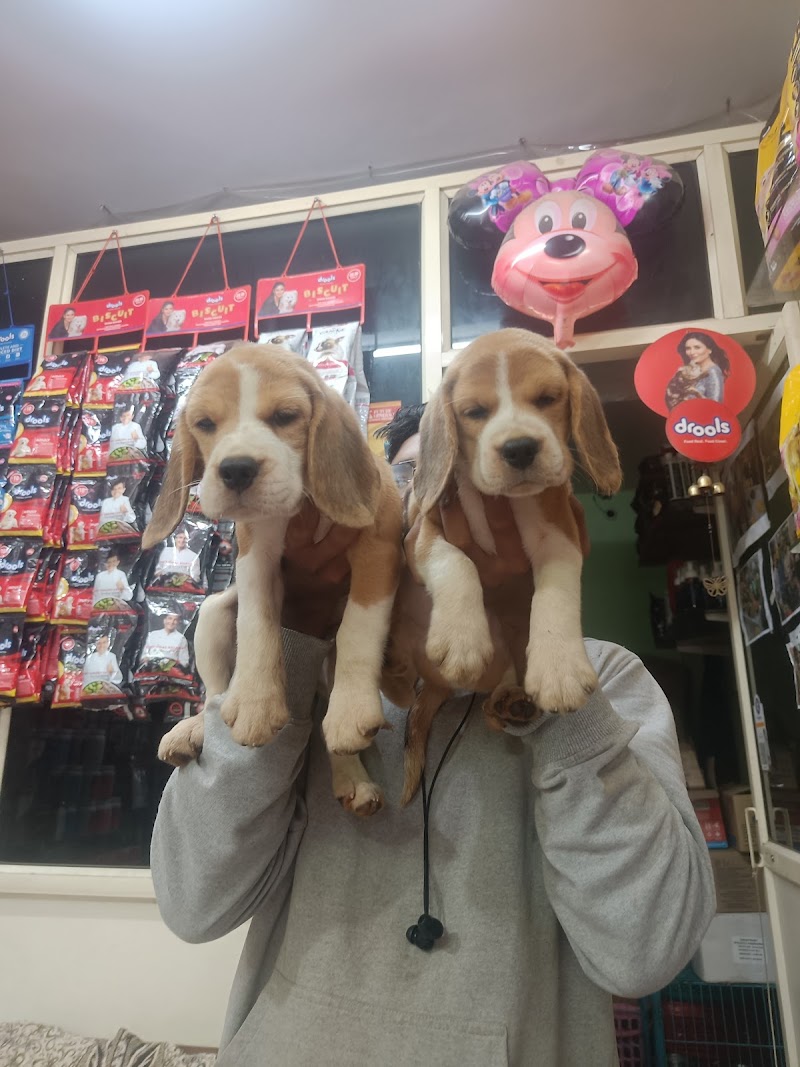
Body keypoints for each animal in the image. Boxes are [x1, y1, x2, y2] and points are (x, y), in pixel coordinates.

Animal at [143, 343, 403, 816]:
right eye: (205, 424)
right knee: (213, 692)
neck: (304, 505)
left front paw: (352, 711)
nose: (236, 469)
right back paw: (194, 728)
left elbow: (358, 629)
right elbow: (258, 622)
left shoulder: (379, 548)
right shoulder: (255, 555)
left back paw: (352, 776)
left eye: (285, 416)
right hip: (213, 612)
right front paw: (255, 704)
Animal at [382, 328, 622, 803]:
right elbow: (457, 563)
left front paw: (561, 668)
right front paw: (462, 639)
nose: (520, 448)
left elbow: (556, 593)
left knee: (492, 703)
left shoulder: (559, 537)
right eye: (475, 412)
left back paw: (512, 702)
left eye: (547, 398)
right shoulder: (424, 534)